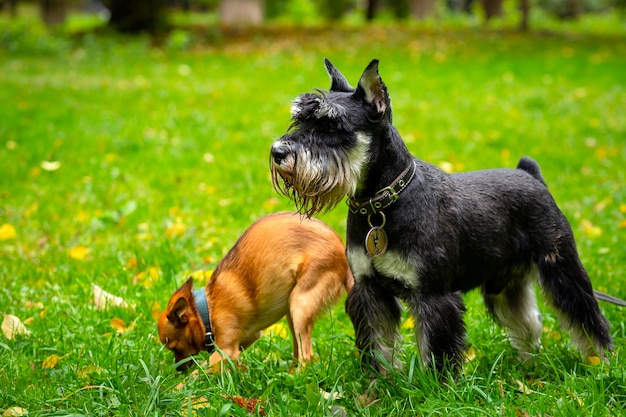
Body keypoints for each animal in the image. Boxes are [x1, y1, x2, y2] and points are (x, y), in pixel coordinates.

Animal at [157, 213, 352, 368]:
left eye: (173, 347)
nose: (178, 369)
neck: (206, 310)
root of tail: (343, 254)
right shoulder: (245, 340)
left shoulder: (226, 352)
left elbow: (199, 373)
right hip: (291, 312)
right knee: (298, 351)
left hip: (300, 305)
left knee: (307, 356)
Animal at [268, 58, 608, 374]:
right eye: (299, 120)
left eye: (332, 126)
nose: (277, 152)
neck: (382, 204)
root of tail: (530, 174)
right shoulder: (370, 291)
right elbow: (378, 346)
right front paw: (378, 384)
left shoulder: (433, 295)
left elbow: (437, 351)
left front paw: (436, 387)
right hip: (504, 284)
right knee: (527, 323)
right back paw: (529, 366)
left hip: (561, 268)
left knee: (588, 317)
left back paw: (601, 362)